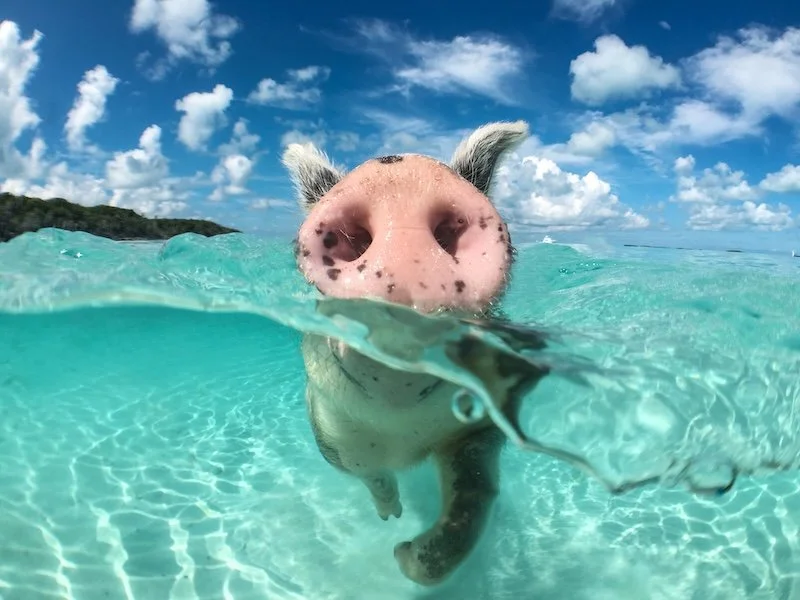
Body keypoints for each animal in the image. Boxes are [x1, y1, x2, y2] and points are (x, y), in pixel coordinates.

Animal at [282, 121, 547, 586]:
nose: (400, 175)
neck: (403, 434)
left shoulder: (481, 422)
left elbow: (474, 494)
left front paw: (403, 554)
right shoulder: (329, 431)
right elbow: (370, 475)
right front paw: (392, 519)